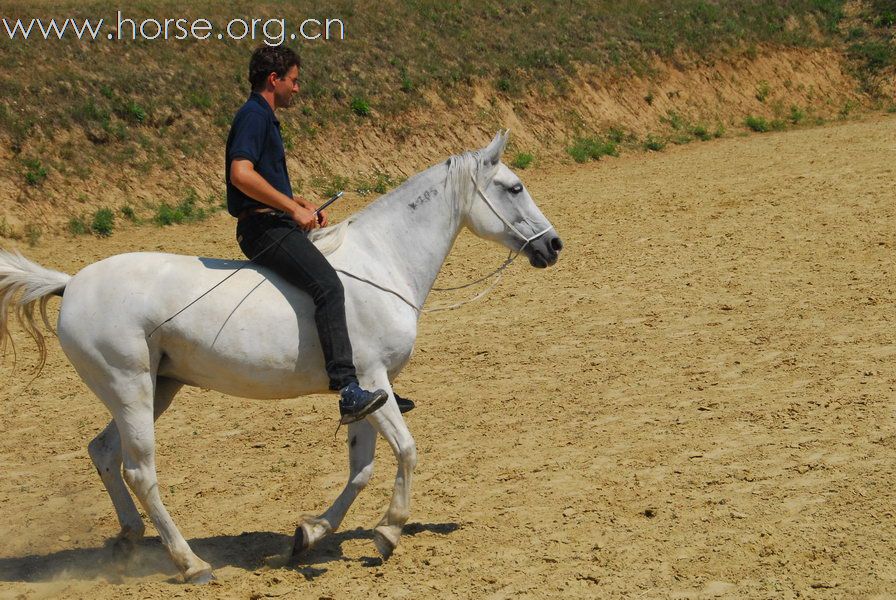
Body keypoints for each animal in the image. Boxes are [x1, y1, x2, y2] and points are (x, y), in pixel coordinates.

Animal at [0, 130, 560, 580]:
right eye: (514, 187)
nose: (553, 245)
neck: (382, 261)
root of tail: (73, 283)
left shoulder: (364, 392)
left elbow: (361, 467)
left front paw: (310, 534)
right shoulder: (372, 375)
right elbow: (406, 451)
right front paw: (388, 533)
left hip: (155, 388)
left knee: (104, 453)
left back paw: (128, 539)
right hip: (130, 387)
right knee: (140, 472)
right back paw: (191, 563)